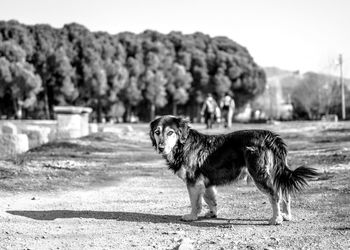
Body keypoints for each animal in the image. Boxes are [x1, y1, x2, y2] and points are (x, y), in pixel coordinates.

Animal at [149, 115, 318, 225]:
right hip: (274, 173)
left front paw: (192, 216)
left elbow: (195, 202)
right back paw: (287, 216)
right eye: (157, 132)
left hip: (259, 175)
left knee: (275, 194)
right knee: (285, 193)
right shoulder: (206, 182)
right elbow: (210, 199)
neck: (183, 145)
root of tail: (269, 136)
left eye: (170, 132)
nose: (161, 147)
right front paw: (212, 213)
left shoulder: (193, 182)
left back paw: (276, 219)